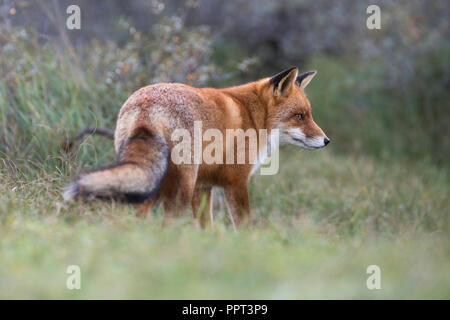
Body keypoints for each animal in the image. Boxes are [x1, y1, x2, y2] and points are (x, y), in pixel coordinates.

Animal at [63, 67, 328, 226]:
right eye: (300, 116)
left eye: (309, 115)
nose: (327, 141)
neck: (255, 117)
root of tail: (148, 104)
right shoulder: (236, 181)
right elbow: (244, 226)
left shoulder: (204, 185)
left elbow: (207, 228)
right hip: (182, 186)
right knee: (168, 223)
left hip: (154, 180)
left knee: (140, 216)